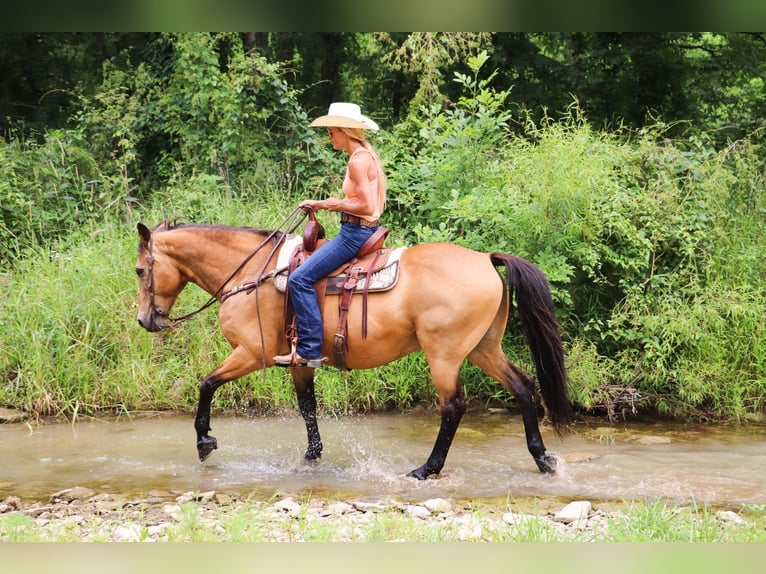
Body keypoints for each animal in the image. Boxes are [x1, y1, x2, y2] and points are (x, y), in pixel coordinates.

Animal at [135, 214, 572, 480]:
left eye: (140, 270)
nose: (145, 320)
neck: (252, 273)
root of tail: (485, 259)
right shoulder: (299, 360)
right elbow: (307, 408)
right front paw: (311, 456)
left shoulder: (250, 352)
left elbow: (207, 383)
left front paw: (204, 442)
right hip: (483, 347)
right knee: (523, 386)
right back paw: (542, 458)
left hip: (444, 355)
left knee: (453, 406)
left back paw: (427, 468)